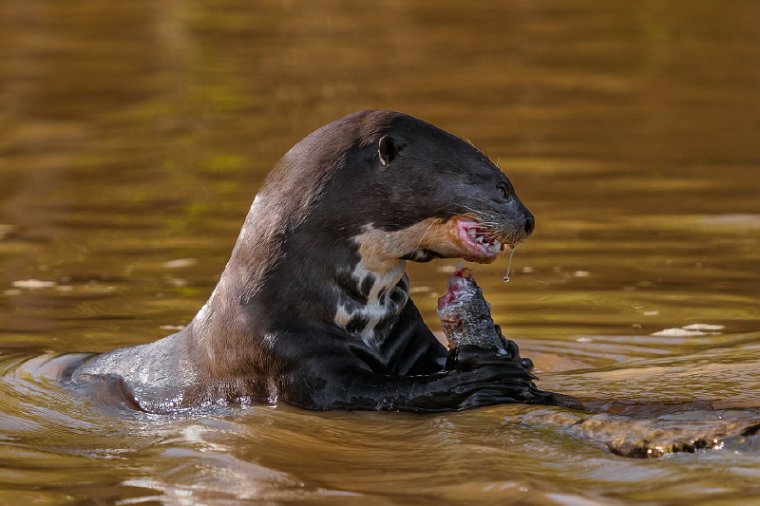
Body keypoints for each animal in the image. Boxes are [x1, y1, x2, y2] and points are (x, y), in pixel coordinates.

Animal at [72, 109, 568, 412]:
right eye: (501, 187)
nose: (529, 220)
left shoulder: (408, 336)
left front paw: (512, 352)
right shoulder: (293, 355)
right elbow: (376, 393)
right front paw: (485, 377)